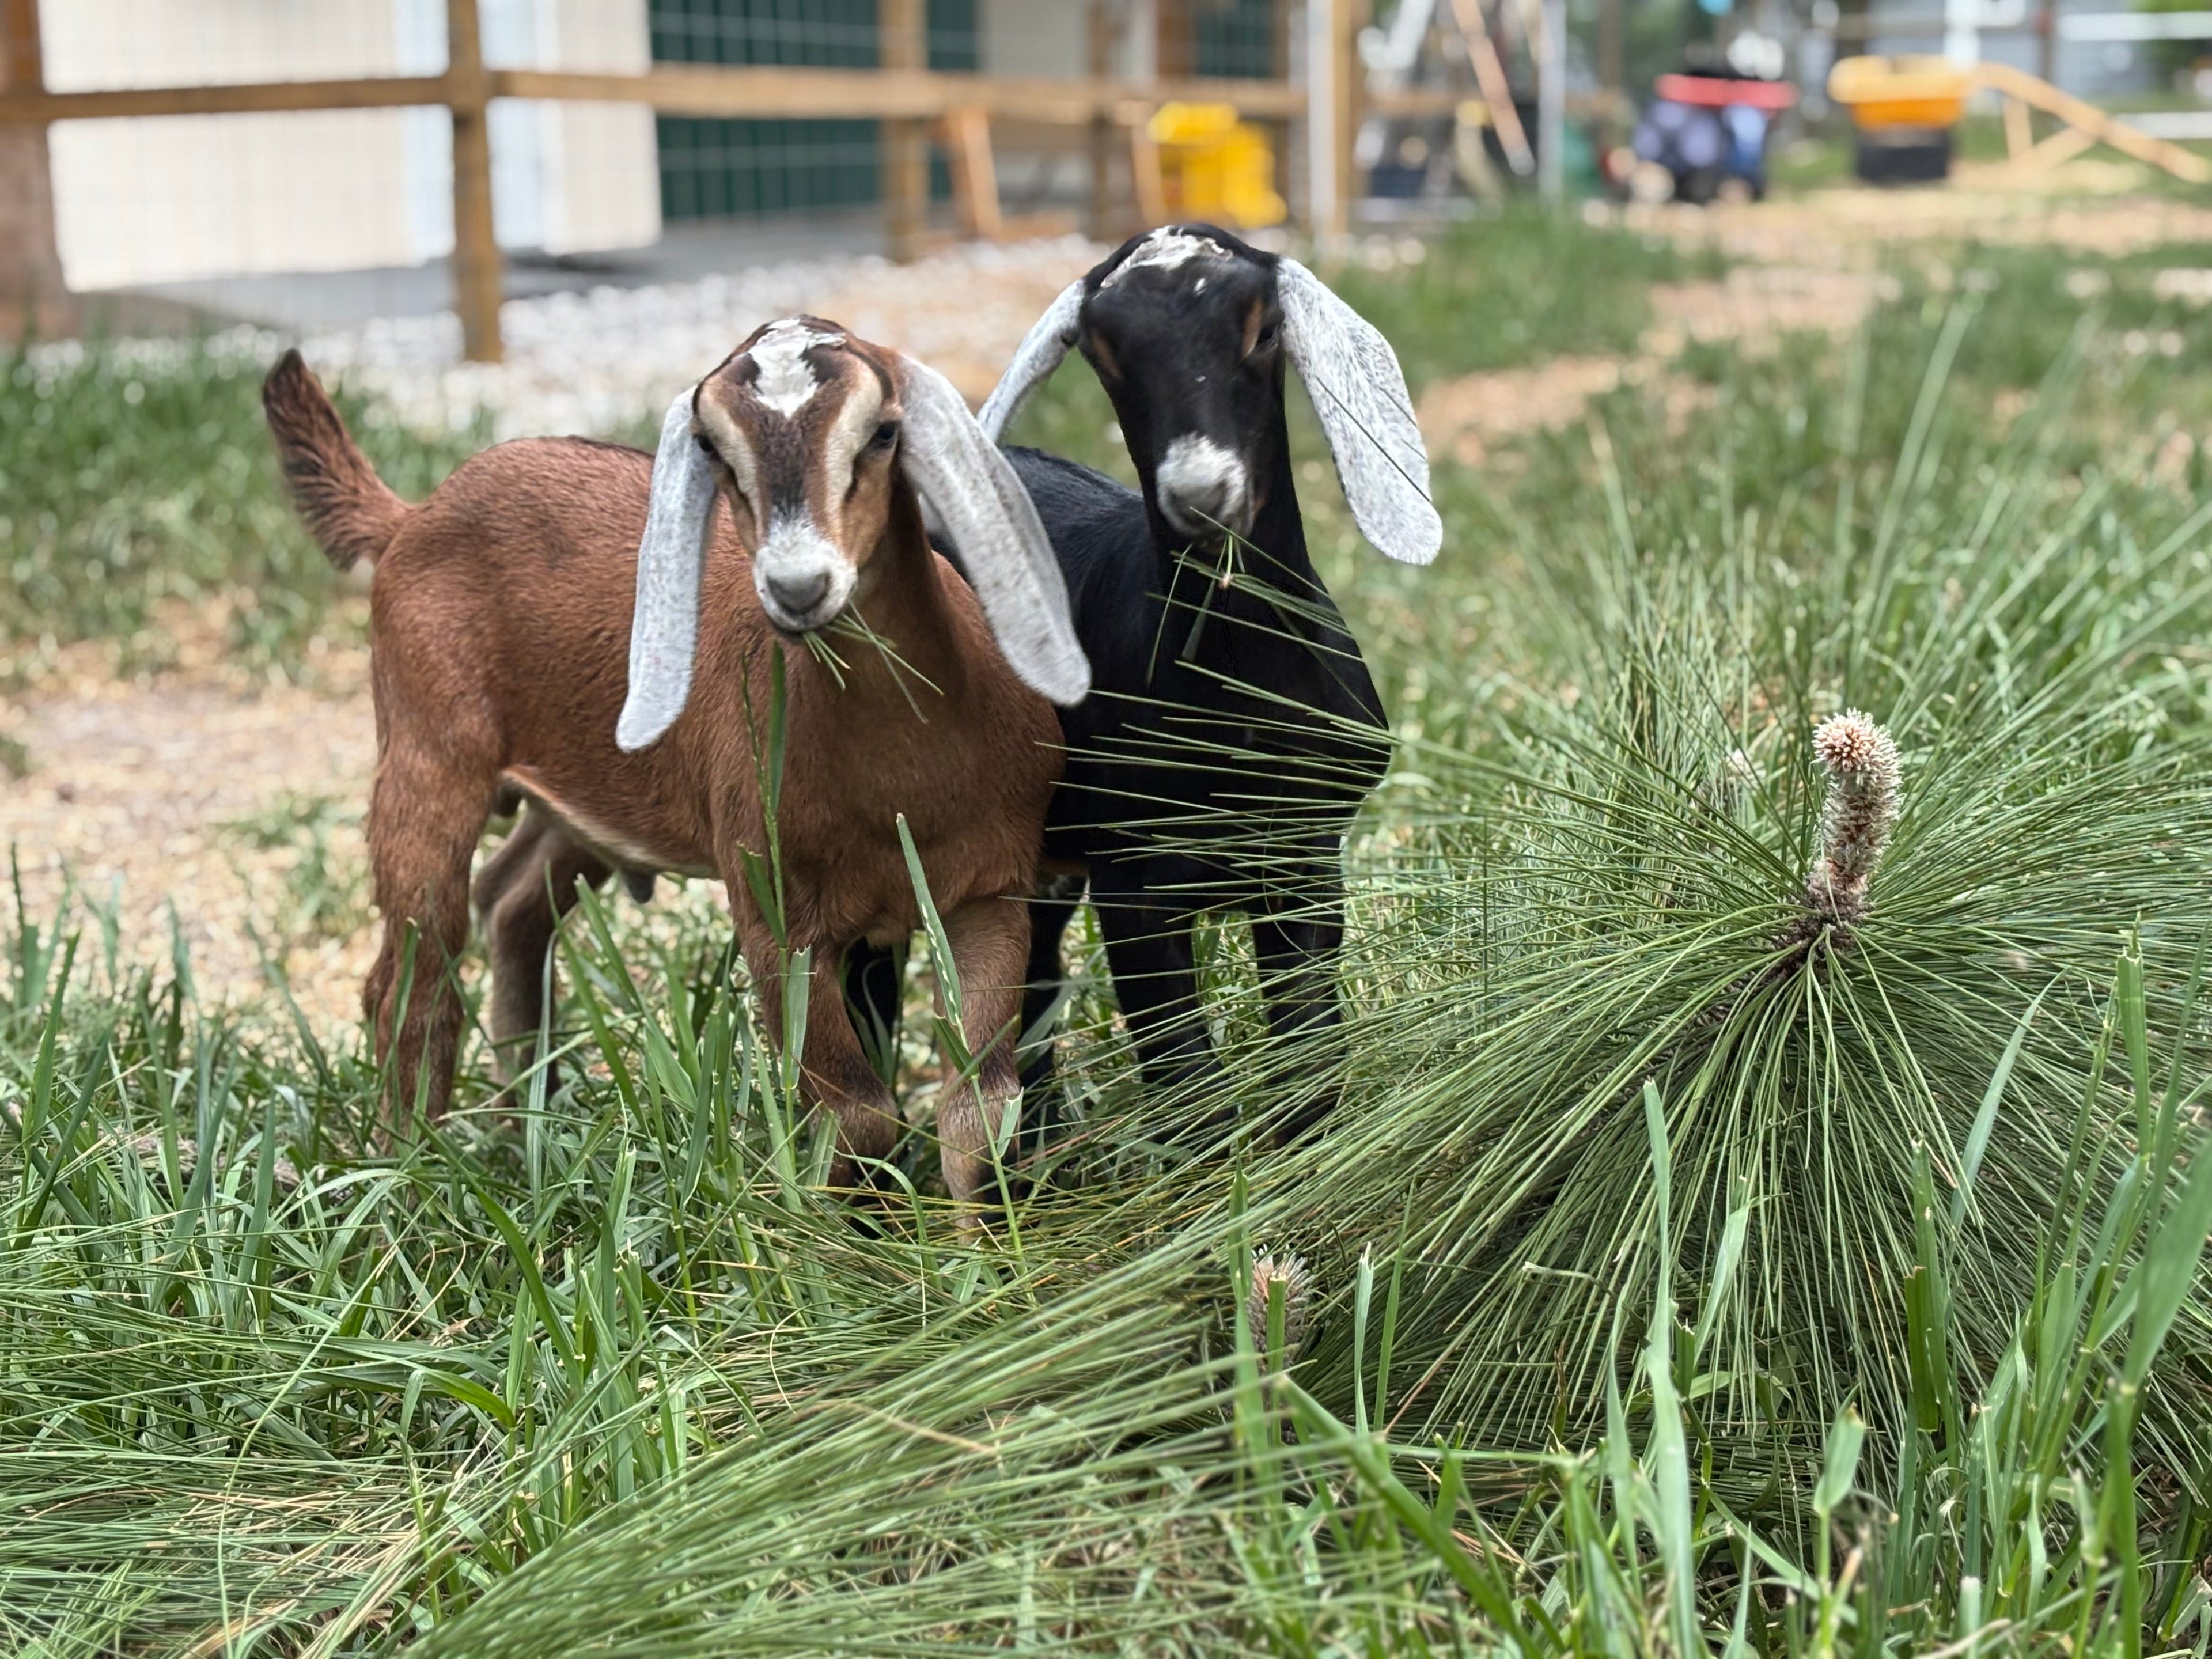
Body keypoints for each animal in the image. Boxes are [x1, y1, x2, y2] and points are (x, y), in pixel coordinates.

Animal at [262, 319, 1088, 1203]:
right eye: (713, 445)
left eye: (884, 432)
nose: (799, 586)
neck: (903, 779)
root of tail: (411, 516)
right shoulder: (776, 913)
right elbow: (857, 1110)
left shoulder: (992, 892)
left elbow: (982, 1112)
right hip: (426, 749)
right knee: (409, 980)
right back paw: (409, 1172)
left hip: (589, 794)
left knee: (513, 903)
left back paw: (528, 1131)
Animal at [848, 224, 1439, 1147]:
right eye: (1104, 351)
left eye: (1263, 330)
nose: (1201, 491)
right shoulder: (1135, 880)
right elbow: (1186, 1082)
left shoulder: (1304, 853)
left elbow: (1310, 1049)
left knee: (1029, 974)